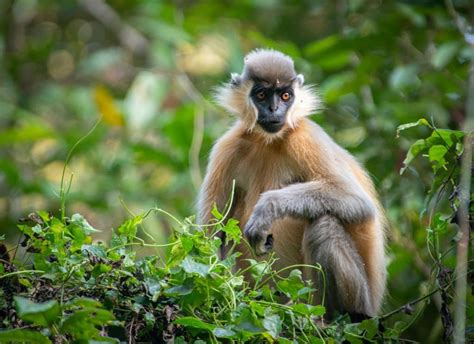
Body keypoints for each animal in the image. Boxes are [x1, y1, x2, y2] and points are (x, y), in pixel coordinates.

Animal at [198, 49, 386, 320]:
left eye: (285, 95)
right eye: (262, 94)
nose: (274, 109)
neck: (268, 141)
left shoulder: (305, 136)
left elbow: (357, 201)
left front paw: (267, 208)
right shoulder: (228, 147)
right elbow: (211, 234)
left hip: (358, 298)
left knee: (324, 225)